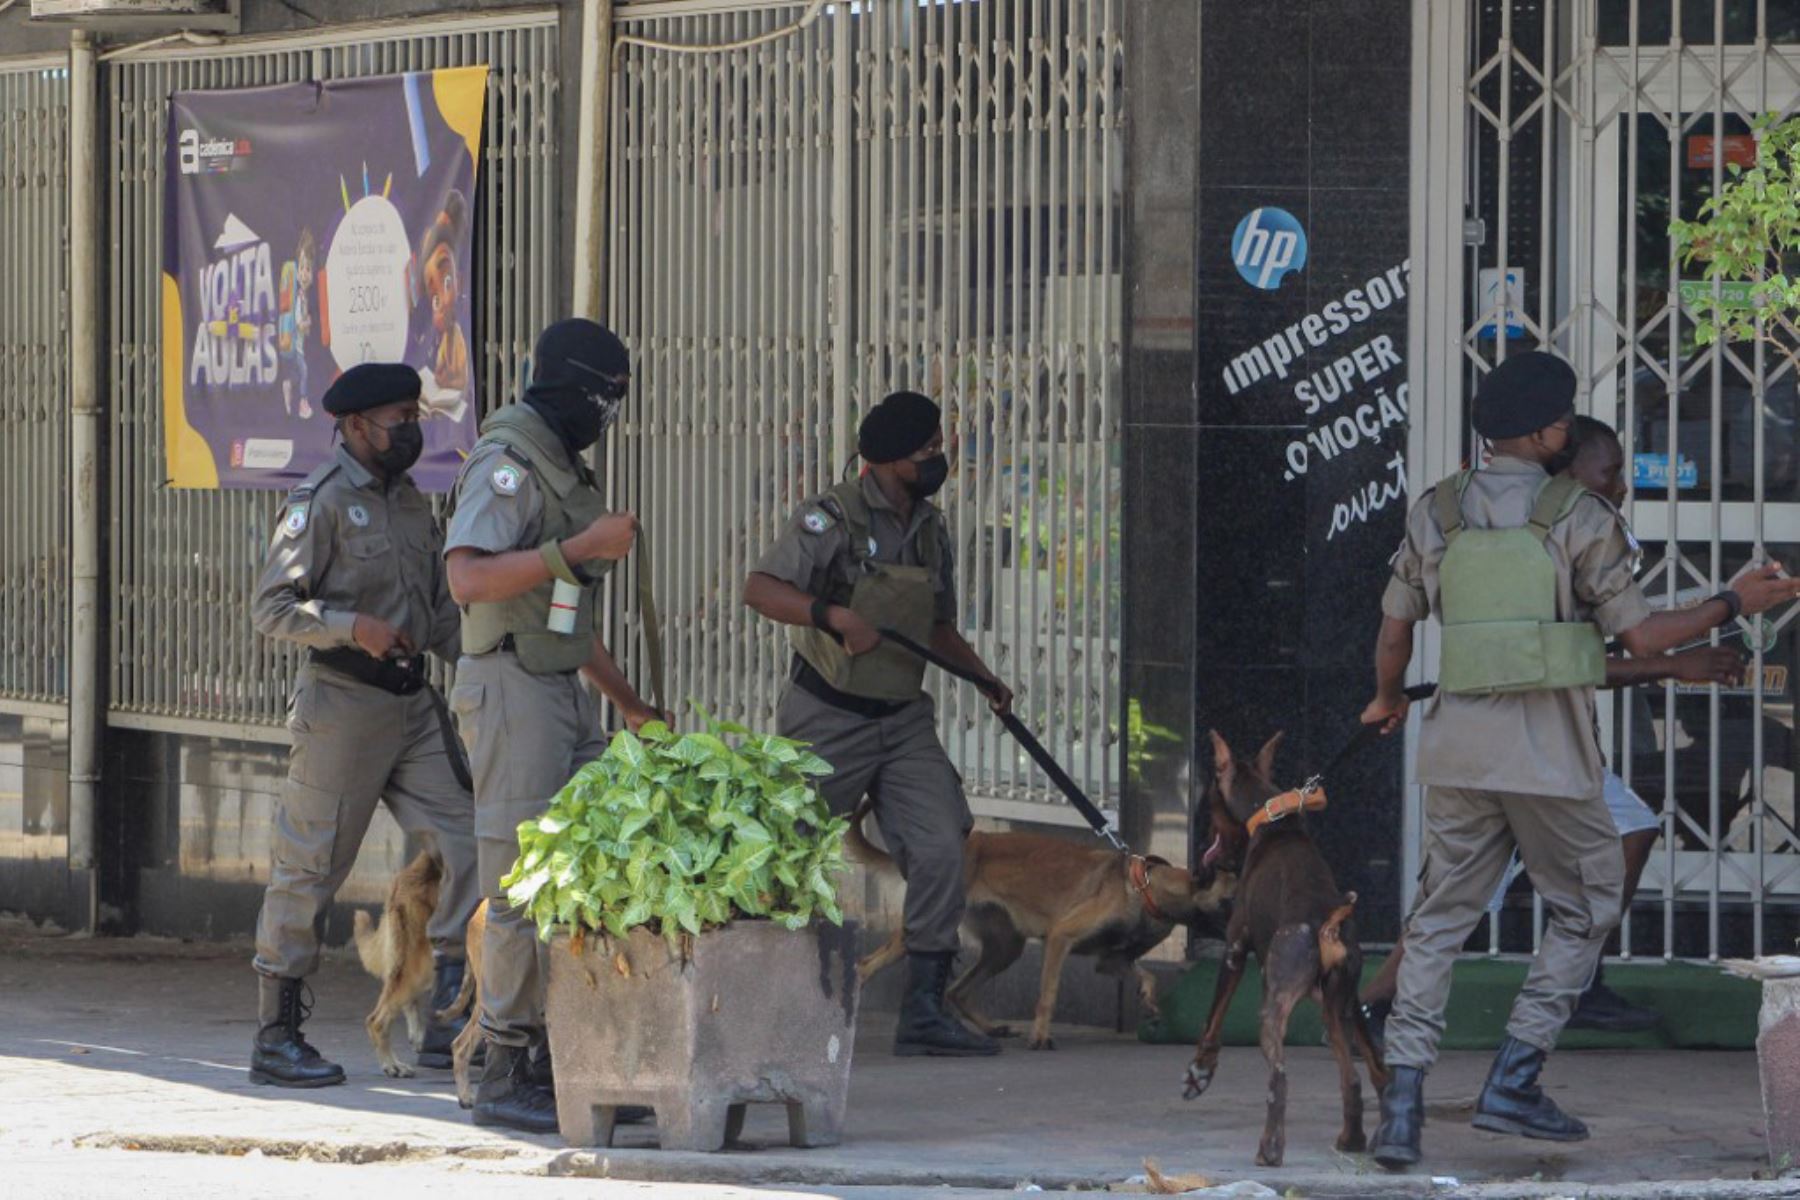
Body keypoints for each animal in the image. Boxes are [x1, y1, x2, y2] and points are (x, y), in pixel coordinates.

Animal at [846, 802, 1238, 1043]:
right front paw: (1040, 1036)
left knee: (957, 990)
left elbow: (1148, 975)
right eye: (1229, 902)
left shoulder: (1111, 961)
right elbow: (1048, 994)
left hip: (1005, 948)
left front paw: (1149, 999)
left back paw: (991, 1029)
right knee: (865, 965)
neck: (1147, 889)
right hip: (924, 929)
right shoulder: (1060, 938)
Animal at [1180, 726, 1389, 1165]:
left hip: (1274, 1006)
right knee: (1363, 1077)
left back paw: (1270, 1149)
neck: (1272, 820)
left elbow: (1213, 1018)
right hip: (1341, 1006)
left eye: (1210, 800)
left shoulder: (1234, 948)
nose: (1202, 844)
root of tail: (1328, 927)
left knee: (1280, 1079)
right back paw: (1354, 1139)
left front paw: (1199, 1073)